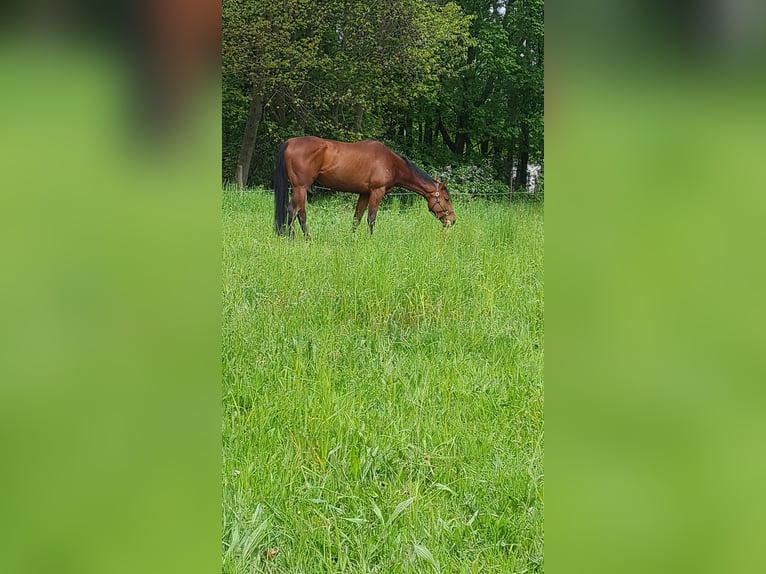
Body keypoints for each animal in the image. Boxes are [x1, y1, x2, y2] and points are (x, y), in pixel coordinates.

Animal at [274, 136, 456, 237]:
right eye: (446, 199)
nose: (453, 220)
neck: (392, 163)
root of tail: (289, 142)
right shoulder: (377, 192)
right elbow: (371, 218)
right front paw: (371, 240)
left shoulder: (364, 194)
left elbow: (357, 218)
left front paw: (352, 240)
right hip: (300, 187)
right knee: (293, 212)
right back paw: (293, 239)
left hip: (300, 189)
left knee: (300, 213)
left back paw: (307, 239)